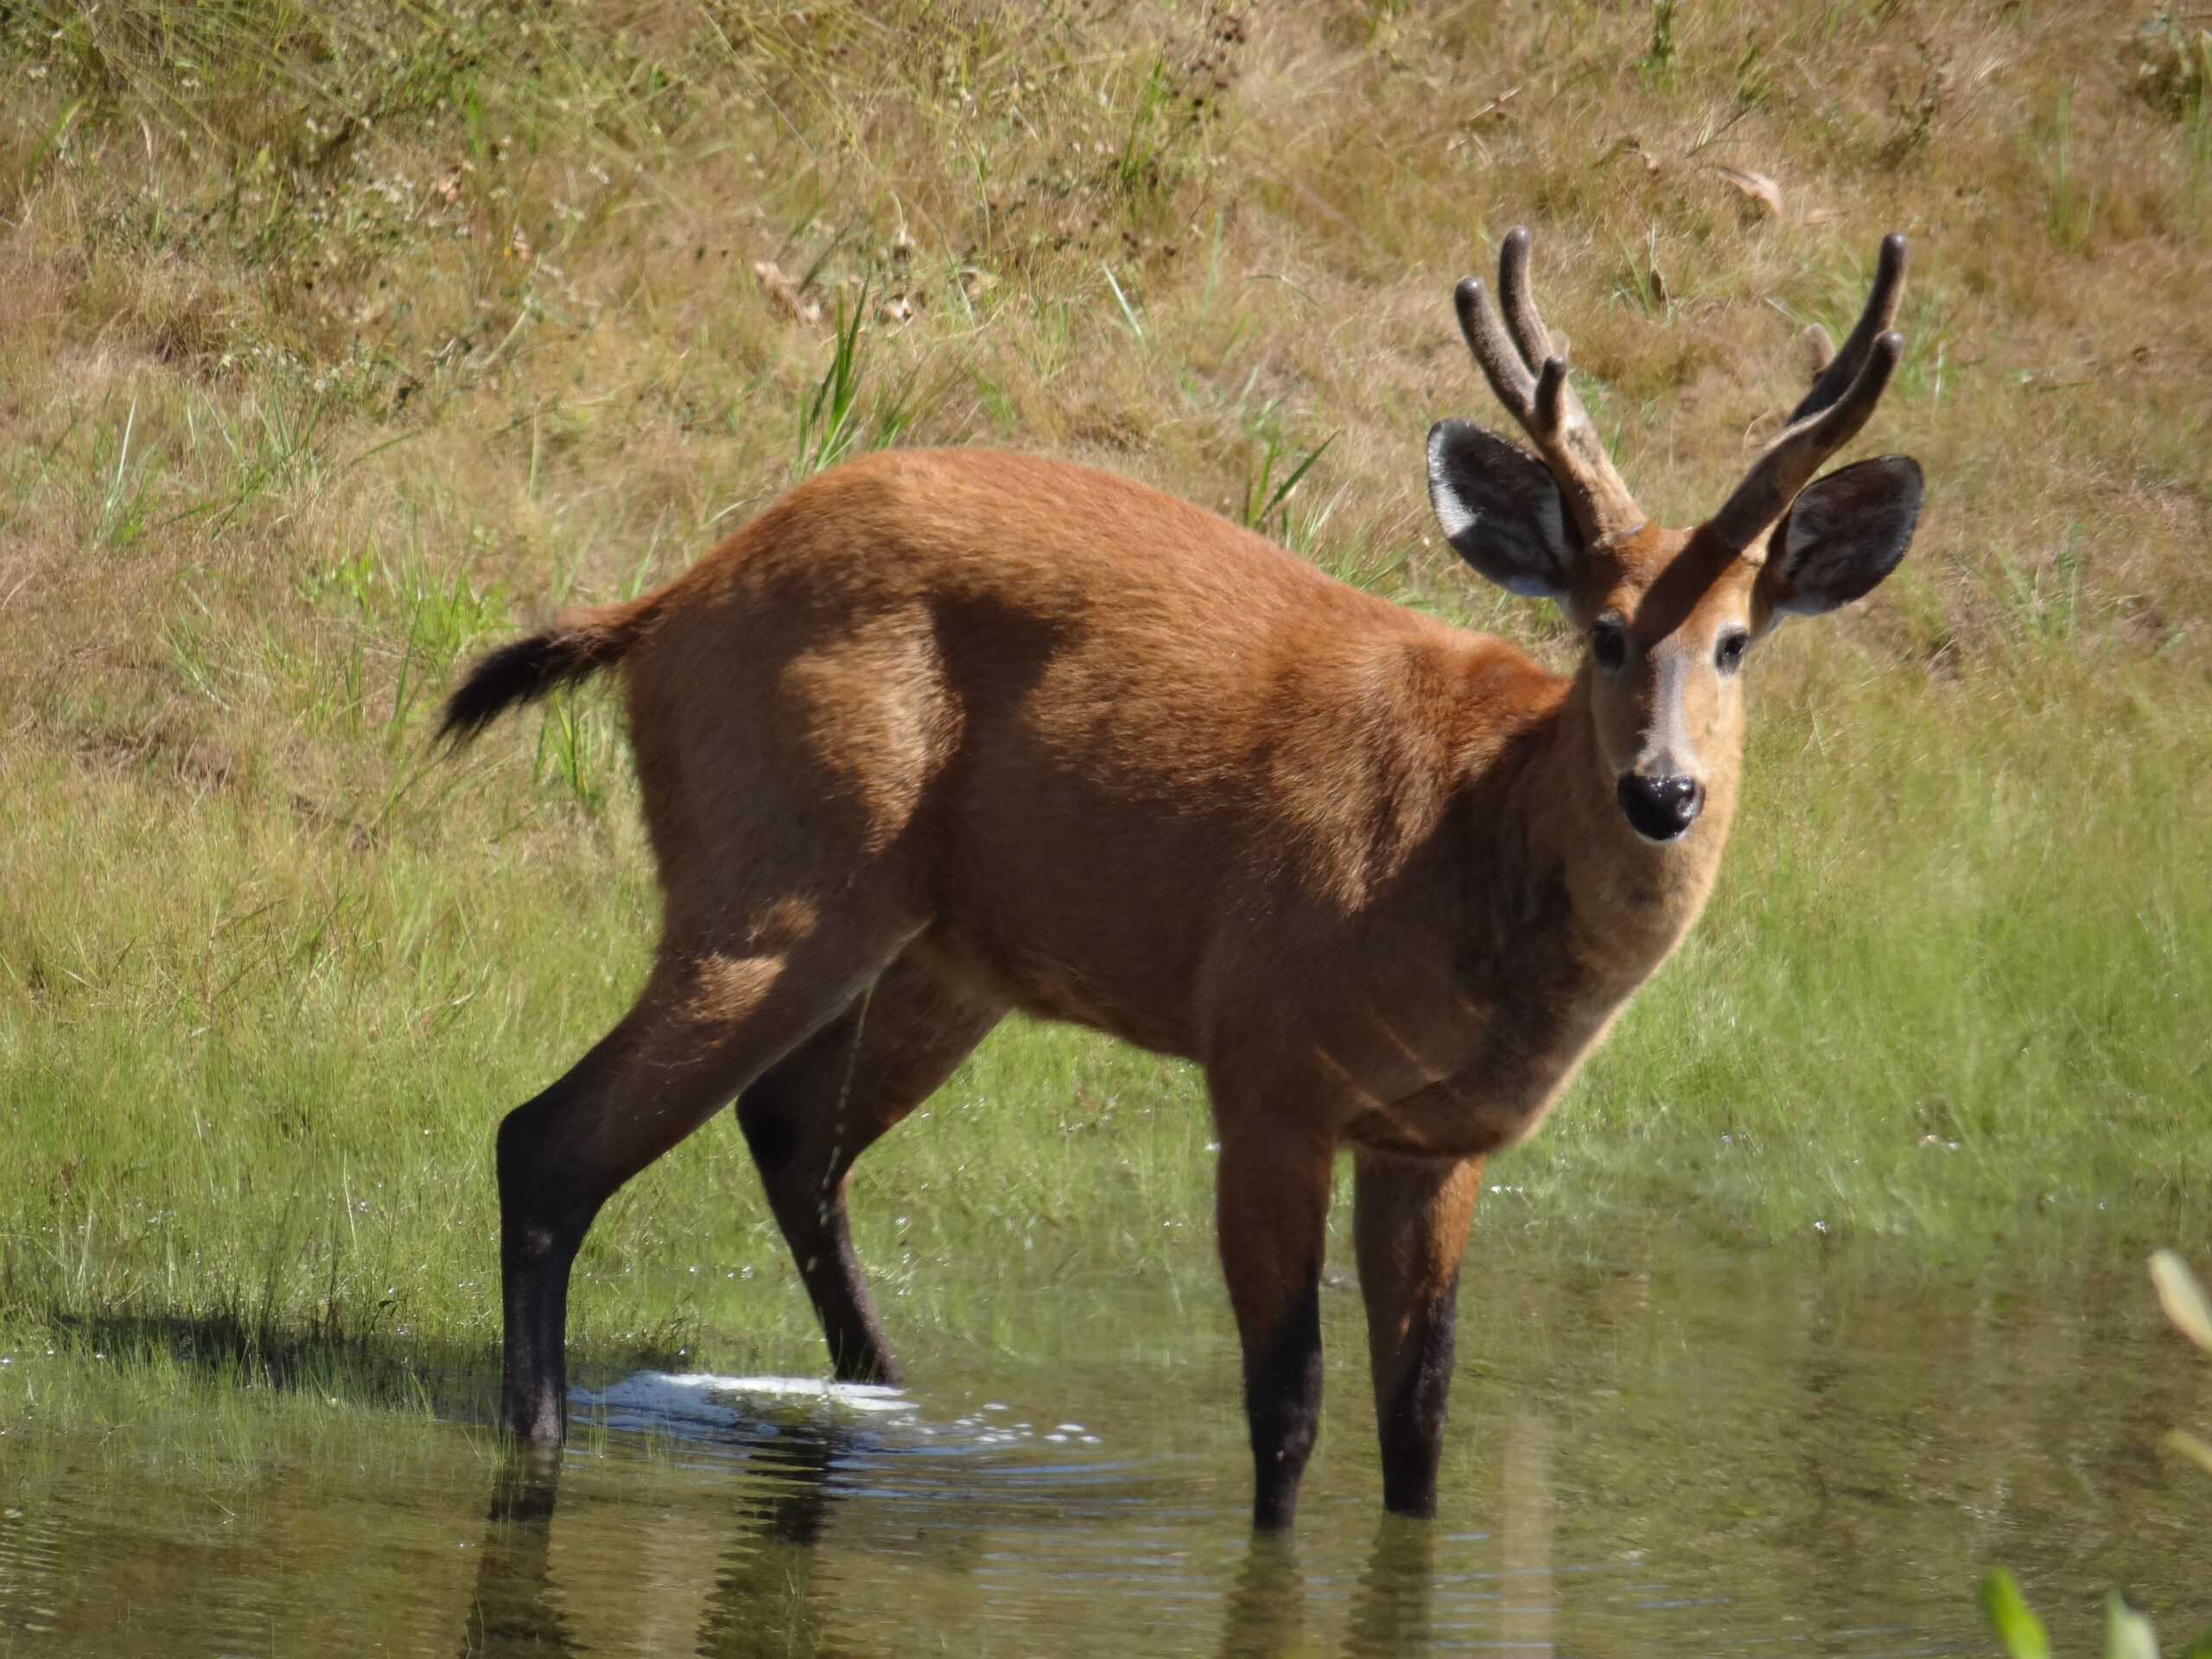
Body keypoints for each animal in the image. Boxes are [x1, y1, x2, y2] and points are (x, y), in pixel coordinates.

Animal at [444, 231, 1920, 1530]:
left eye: (1736, 642)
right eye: (1603, 632)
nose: (1664, 794)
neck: (1466, 847)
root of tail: (664, 605)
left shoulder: (1435, 1138)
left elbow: (1421, 1422)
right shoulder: (1268, 1060)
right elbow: (1289, 1407)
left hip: (932, 946)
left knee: (792, 1134)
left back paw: (882, 1401)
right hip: (781, 876)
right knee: (547, 1140)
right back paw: (538, 1449)